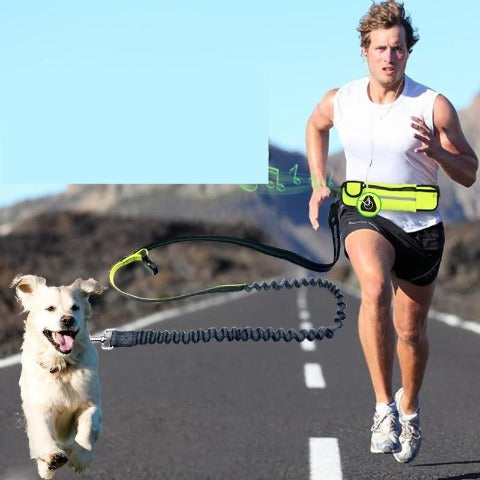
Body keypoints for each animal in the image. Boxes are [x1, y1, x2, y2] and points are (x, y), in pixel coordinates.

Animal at [11, 276, 104, 478]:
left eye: (75, 307)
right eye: (50, 308)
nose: (68, 320)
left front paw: (81, 458)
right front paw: (53, 457)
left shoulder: (91, 403)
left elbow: (88, 425)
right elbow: (42, 432)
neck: (62, 366)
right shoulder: (39, 406)